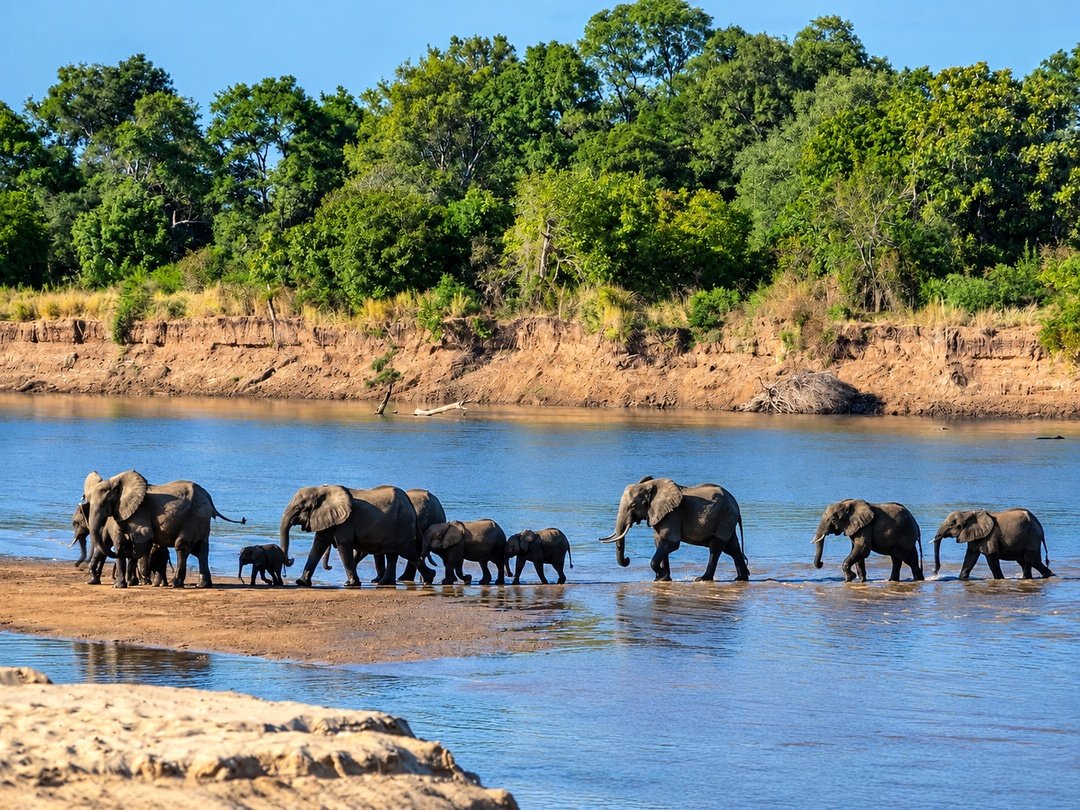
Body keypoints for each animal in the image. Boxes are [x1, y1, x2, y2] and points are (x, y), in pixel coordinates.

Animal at [81, 470, 245, 588]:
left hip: (194, 516)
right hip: (201, 519)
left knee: (183, 546)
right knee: (201, 550)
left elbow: (142, 538)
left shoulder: (140, 511)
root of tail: (208, 497)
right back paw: (202, 585)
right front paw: (122, 584)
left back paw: (175, 583)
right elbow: (121, 541)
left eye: (102, 504)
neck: (116, 480)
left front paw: (122, 584)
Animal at [281, 484, 436, 587]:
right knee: (393, 554)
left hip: (402, 525)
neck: (322, 489)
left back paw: (429, 578)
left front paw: (349, 584)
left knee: (407, 552)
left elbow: (343, 544)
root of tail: (410, 504)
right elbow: (318, 544)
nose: (290, 560)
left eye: (299, 509)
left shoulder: (346, 521)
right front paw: (301, 582)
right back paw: (384, 583)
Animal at [599, 477, 748, 582]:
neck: (650, 485)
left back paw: (702, 579)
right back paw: (741, 578)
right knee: (732, 547)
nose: (628, 559)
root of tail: (736, 503)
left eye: (633, 506)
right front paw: (662, 579)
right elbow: (659, 542)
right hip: (727, 518)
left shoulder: (673, 514)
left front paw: (662, 576)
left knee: (716, 547)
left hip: (725, 516)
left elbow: (670, 543)